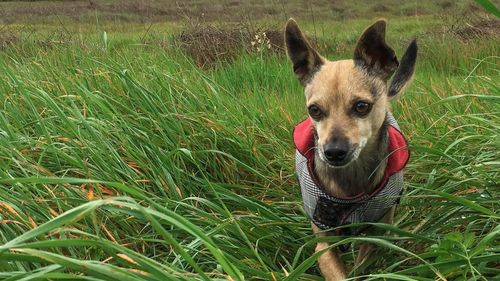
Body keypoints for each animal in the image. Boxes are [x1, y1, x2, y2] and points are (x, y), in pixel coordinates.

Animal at [286, 18, 418, 278]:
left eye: (361, 107)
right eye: (314, 110)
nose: (333, 152)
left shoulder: (376, 235)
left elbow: (362, 267)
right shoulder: (323, 246)